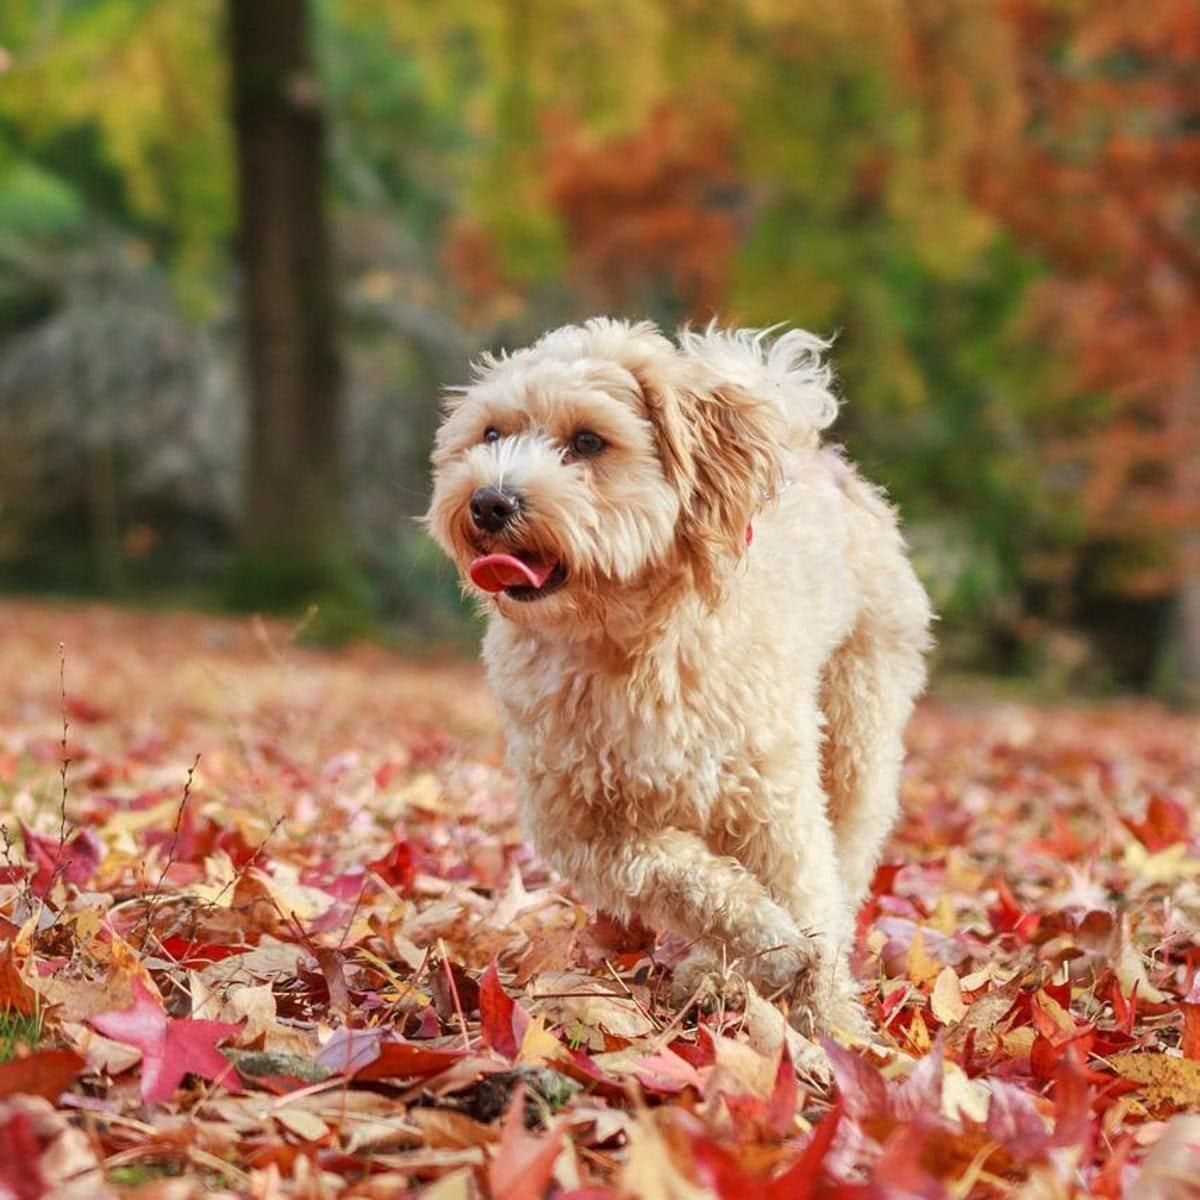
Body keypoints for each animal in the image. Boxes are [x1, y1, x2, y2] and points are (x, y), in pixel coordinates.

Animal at [427, 321, 931, 1041]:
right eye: (491, 433)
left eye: (589, 441)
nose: (490, 500)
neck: (625, 644)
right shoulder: (580, 823)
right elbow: (680, 877)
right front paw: (770, 945)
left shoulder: (775, 800)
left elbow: (809, 898)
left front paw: (834, 1028)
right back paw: (715, 973)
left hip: (859, 730)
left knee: (849, 855)